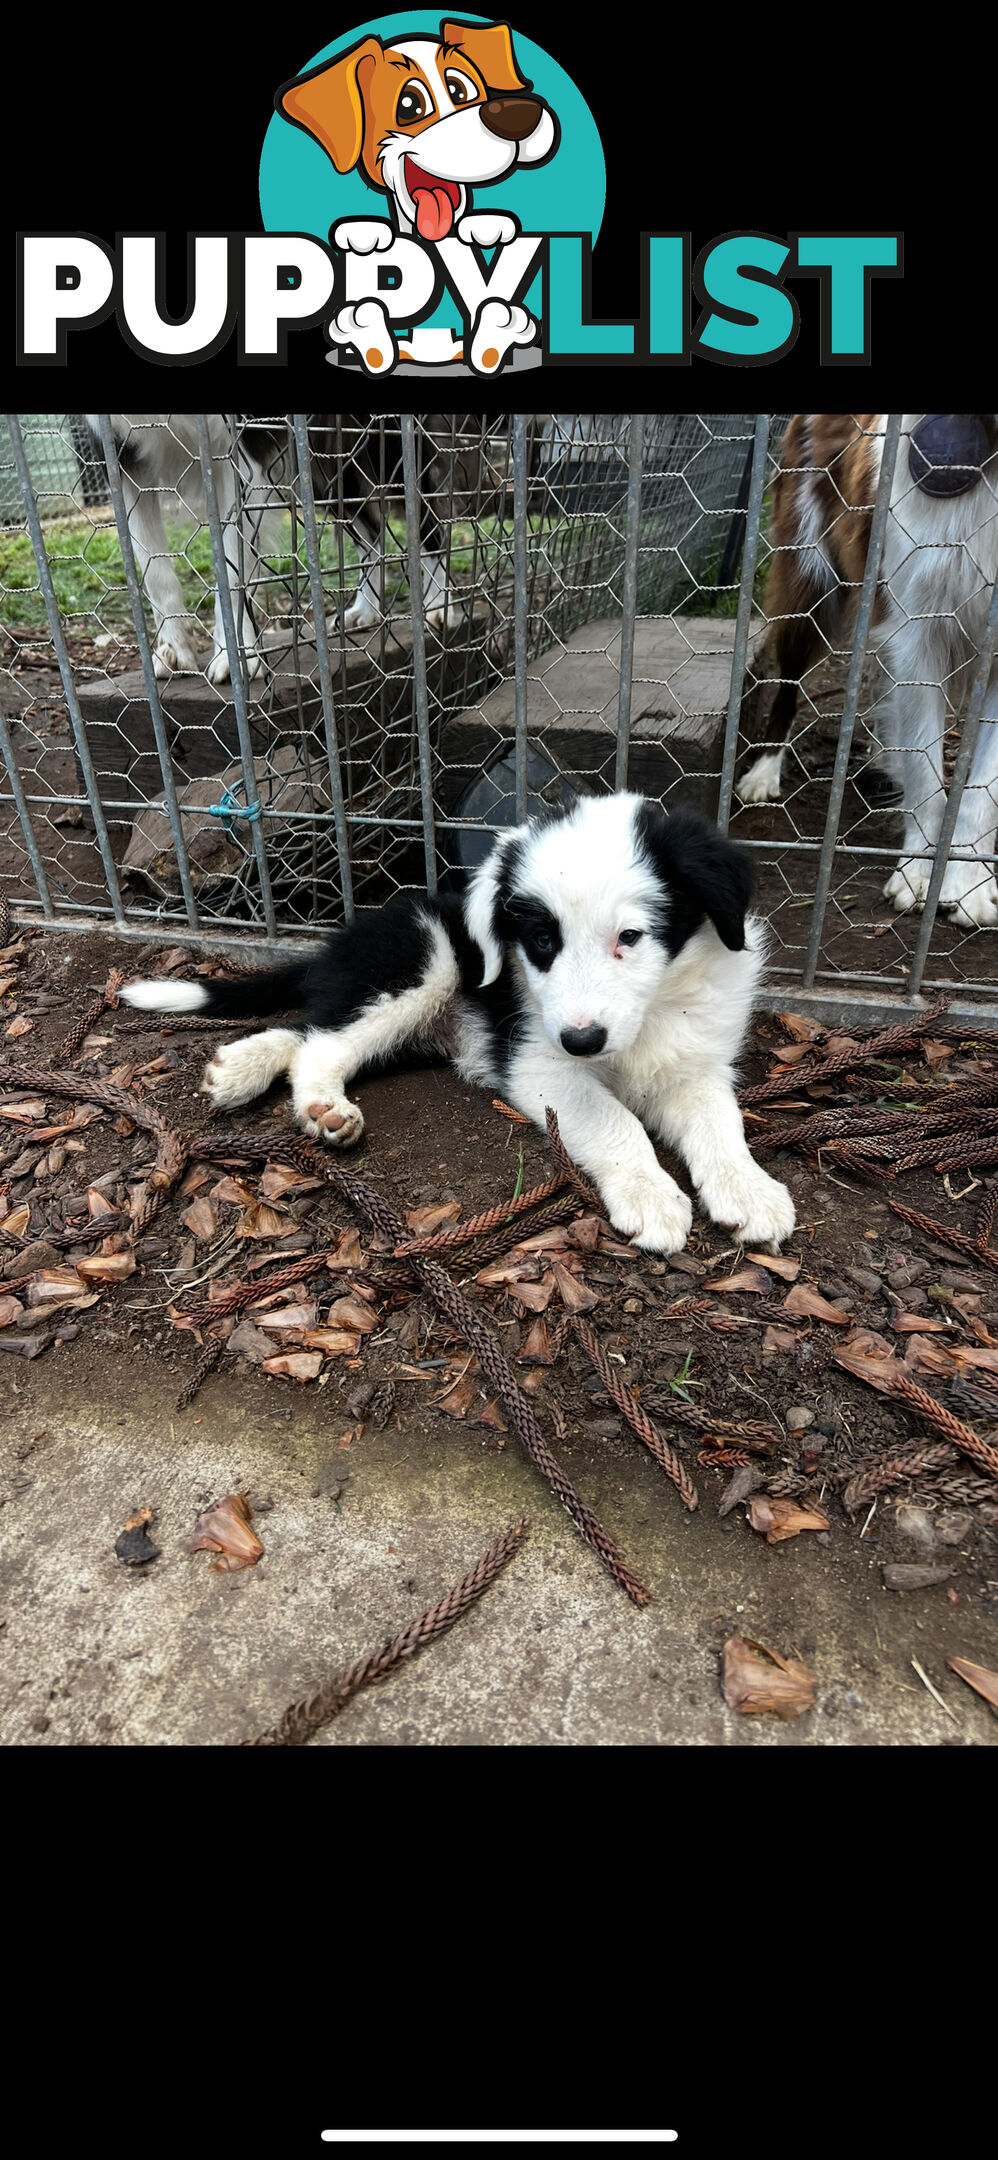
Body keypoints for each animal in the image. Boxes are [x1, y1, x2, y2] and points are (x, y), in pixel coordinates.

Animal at [120, 799, 794, 1261]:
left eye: (630, 936)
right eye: (541, 941)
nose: (582, 1041)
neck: (650, 1014)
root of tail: (344, 940)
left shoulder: (696, 1062)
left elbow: (719, 1120)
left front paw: (748, 1189)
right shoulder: (539, 1063)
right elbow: (616, 1120)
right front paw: (651, 1195)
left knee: (308, 1027)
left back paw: (239, 1069)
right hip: (427, 959)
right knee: (322, 1040)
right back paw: (320, 1104)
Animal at [738, 416, 998, 933]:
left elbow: (985, 787)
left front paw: (970, 883)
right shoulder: (917, 628)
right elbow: (924, 768)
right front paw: (919, 872)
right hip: (812, 574)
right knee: (789, 686)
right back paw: (764, 771)